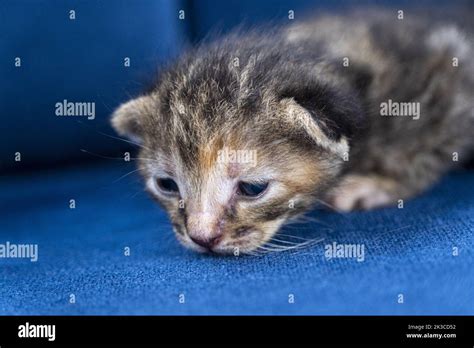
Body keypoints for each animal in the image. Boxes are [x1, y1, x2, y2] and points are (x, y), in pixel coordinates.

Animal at [112, 10, 474, 256]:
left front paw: (380, 183)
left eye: (253, 188)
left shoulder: (447, 74)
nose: (202, 238)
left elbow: (428, 146)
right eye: (166, 185)